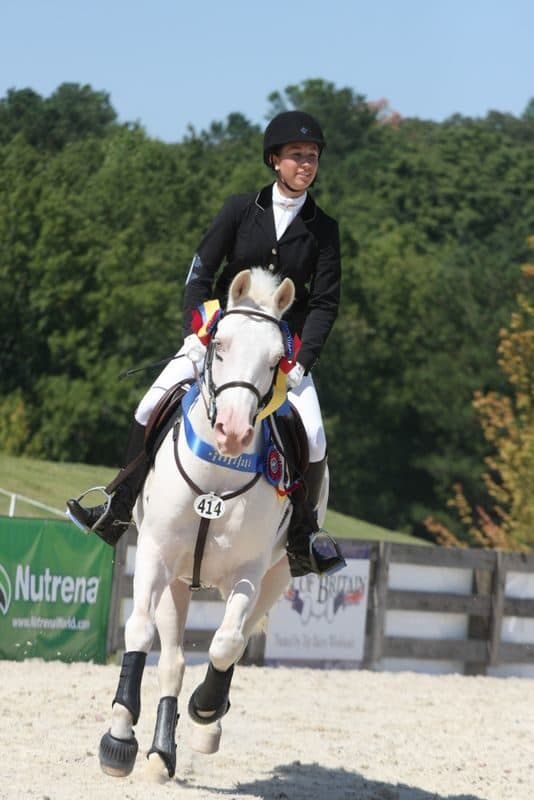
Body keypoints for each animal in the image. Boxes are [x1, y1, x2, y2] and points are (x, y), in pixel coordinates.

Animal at [98, 267, 329, 781]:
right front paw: (118, 738)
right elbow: (139, 631)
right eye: (219, 344)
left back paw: (203, 726)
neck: (218, 474)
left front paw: (206, 710)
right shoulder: (155, 555)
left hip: (276, 577)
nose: (234, 431)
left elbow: (226, 643)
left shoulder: (250, 572)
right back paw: (160, 753)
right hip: (177, 580)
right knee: (173, 661)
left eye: (277, 360)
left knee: (234, 641)